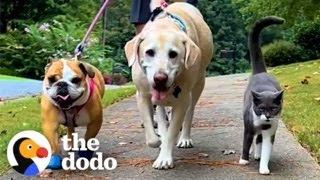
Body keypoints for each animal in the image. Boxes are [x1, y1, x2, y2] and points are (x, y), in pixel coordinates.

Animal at [238, 16, 284, 174]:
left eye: (274, 108)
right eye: (261, 108)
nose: (268, 116)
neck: (262, 123)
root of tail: (261, 72)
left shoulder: (270, 132)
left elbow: (266, 149)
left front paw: (264, 168)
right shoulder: (248, 126)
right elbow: (246, 142)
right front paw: (243, 160)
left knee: (258, 140)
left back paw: (257, 154)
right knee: (254, 140)